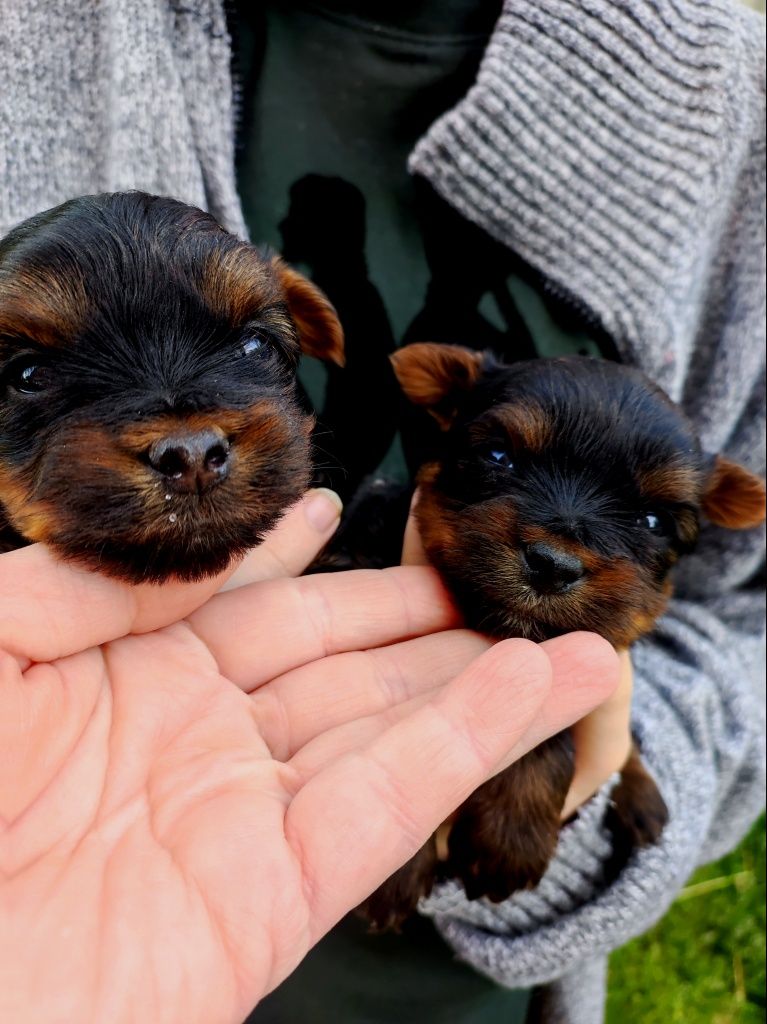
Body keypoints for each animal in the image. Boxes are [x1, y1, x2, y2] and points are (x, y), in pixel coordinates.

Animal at [344, 342, 761, 929]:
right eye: (499, 457)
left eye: (653, 521)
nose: (552, 564)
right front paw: (391, 868)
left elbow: (551, 720)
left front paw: (509, 839)